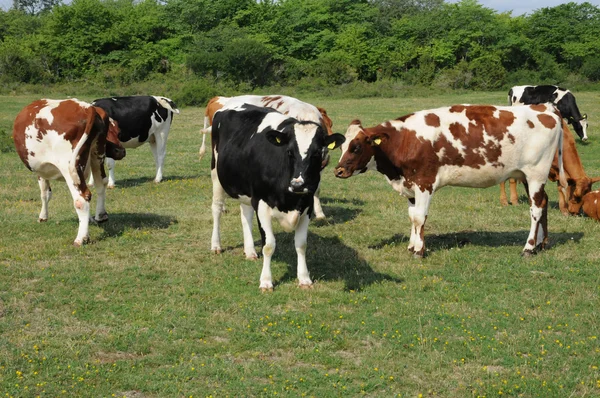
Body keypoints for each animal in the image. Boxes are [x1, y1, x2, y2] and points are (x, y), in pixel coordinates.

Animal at [12, 98, 125, 246]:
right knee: (101, 184)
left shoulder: (41, 171)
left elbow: (44, 194)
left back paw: (81, 238)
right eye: (115, 132)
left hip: (68, 166)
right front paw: (90, 220)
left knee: (81, 198)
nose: (121, 151)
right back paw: (101, 216)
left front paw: (43, 217)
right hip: (97, 156)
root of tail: (88, 108)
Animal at [211, 104, 344, 290]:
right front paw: (266, 281)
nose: (298, 184)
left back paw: (250, 251)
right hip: (216, 175)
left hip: (246, 189)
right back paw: (216, 245)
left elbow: (301, 244)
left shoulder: (307, 206)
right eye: (289, 152)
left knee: (245, 215)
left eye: (317, 152)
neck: (291, 199)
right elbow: (268, 245)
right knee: (216, 209)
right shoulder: (262, 204)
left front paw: (304, 278)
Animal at [338, 104, 568, 256]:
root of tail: (544, 108)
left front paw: (419, 250)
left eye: (356, 147)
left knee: (536, 208)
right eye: (341, 146)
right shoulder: (410, 184)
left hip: (536, 173)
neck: (405, 140)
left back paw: (528, 247)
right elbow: (412, 216)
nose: (338, 170)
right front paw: (412, 245)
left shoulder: (424, 182)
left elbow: (420, 217)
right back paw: (541, 244)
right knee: (543, 203)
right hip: (526, 176)